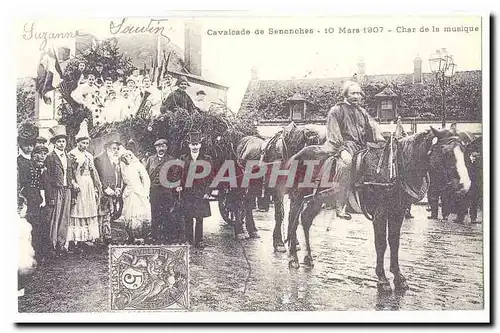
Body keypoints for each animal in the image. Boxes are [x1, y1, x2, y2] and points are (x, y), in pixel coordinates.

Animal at [284, 126, 470, 290]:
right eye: (446, 152)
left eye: (464, 151)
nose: (464, 185)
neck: (394, 168)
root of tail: (297, 154)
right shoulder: (380, 213)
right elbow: (381, 243)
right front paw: (382, 278)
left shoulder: (398, 212)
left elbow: (394, 242)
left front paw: (398, 276)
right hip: (298, 197)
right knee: (292, 221)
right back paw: (293, 256)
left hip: (318, 200)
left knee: (305, 220)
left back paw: (308, 256)